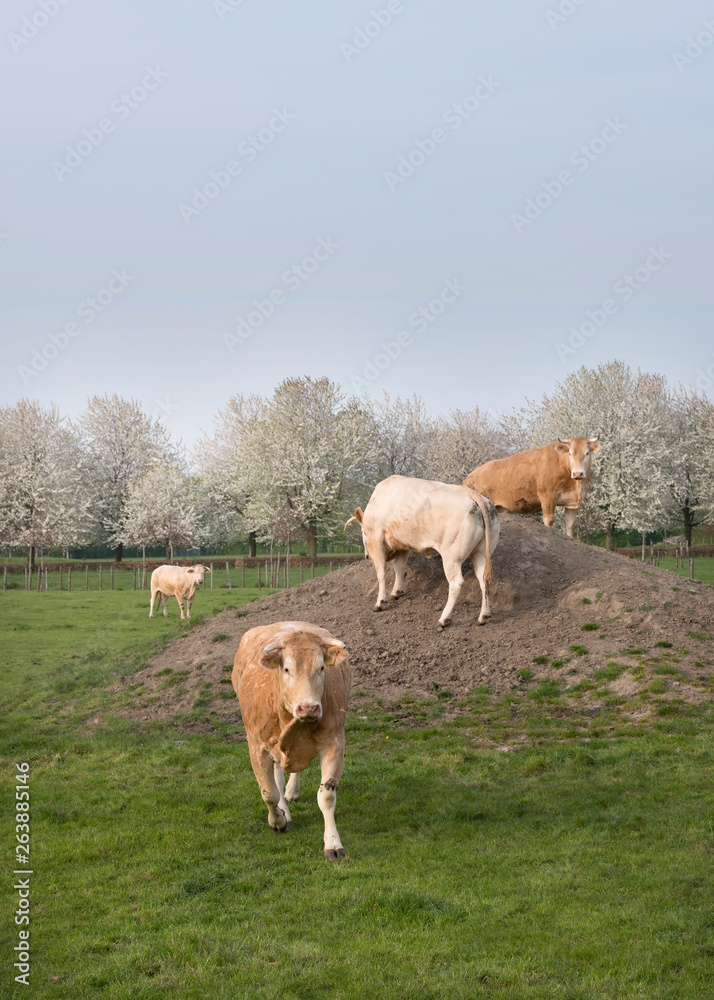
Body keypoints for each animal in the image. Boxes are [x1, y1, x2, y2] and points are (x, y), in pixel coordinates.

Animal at [233, 622, 350, 860]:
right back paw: (284, 812)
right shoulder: (257, 748)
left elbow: (326, 796)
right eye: (287, 669)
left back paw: (292, 790)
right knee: (277, 781)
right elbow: (269, 793)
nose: (308, 707)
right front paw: (277, 820)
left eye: (321, 667)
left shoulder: (334, 743)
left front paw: (333, 844)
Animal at [346, 475, 499, 628]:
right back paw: (484, 616)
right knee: (484, 579)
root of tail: (471, 493)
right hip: (480, 553)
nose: (366, 555)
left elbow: (381, 574)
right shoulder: (403, 545)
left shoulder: (376, 543)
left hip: (452, 558)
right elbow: (399, 568)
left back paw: (444, 619)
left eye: (362, 531)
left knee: (456, 583)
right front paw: (396, 592)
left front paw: (380, 603)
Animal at [463, 436, 601, 539]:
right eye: (570, 454)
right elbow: (548, 521)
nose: (578, 473)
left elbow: (570, 525)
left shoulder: (572, 503)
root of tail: (469, 477)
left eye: (587, 453)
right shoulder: (547, 497)